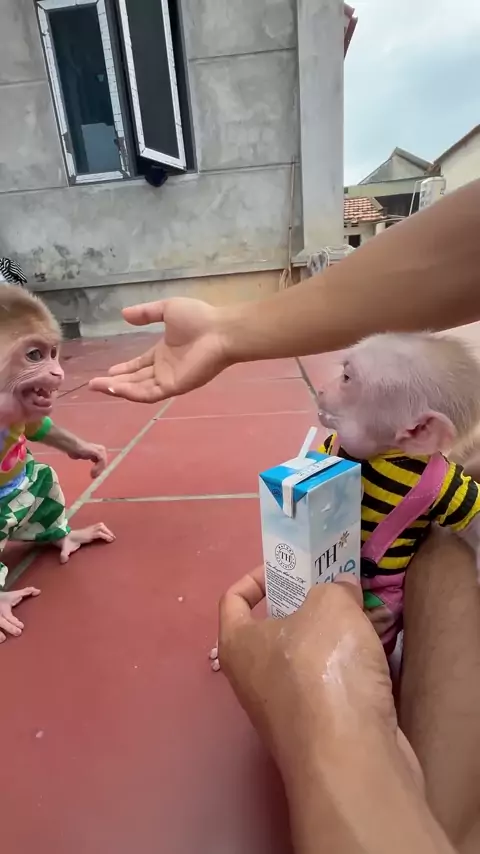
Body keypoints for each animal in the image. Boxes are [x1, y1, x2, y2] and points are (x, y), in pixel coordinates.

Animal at [0, 285, 115, 644]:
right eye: (34, 356)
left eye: (52, 353)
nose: (58, 372)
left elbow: (36, 424)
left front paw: (89, 452)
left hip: (27, 495)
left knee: (43, 480)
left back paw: (65, 537)